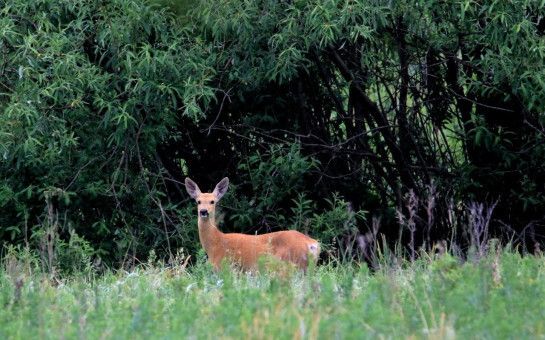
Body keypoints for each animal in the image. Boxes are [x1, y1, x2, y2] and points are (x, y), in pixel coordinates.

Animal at [185, 178, 318, 270]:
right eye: (198, 201)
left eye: (212, 201)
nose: (203, 211)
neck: (215, 244)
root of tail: (312, 244)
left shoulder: (226, 268)